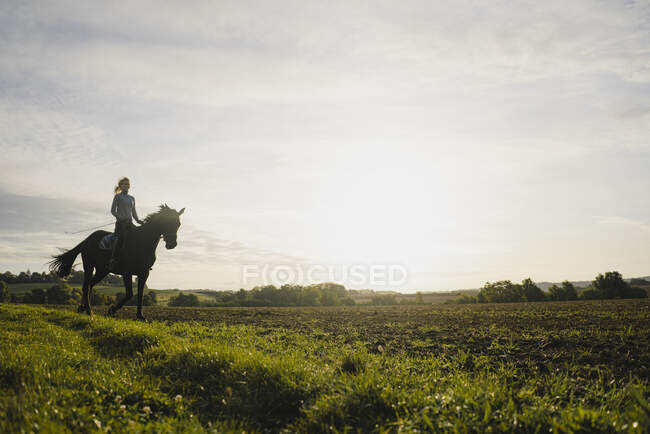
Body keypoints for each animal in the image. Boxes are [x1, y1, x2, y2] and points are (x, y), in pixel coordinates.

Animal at [48, 203, 182, 318]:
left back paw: (83, 308)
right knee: (86, 286)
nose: (172, 244)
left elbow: (140, 294)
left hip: (102, 270)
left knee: (90, 285)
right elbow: (129, 294)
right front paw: (111, 310)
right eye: (166, 222)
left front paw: (140, 316)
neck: (142, 241)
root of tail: (87, 240)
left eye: (178, 224)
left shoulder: (144, 273)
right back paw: (89, 311)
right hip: (89, 265)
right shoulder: (127, 272)